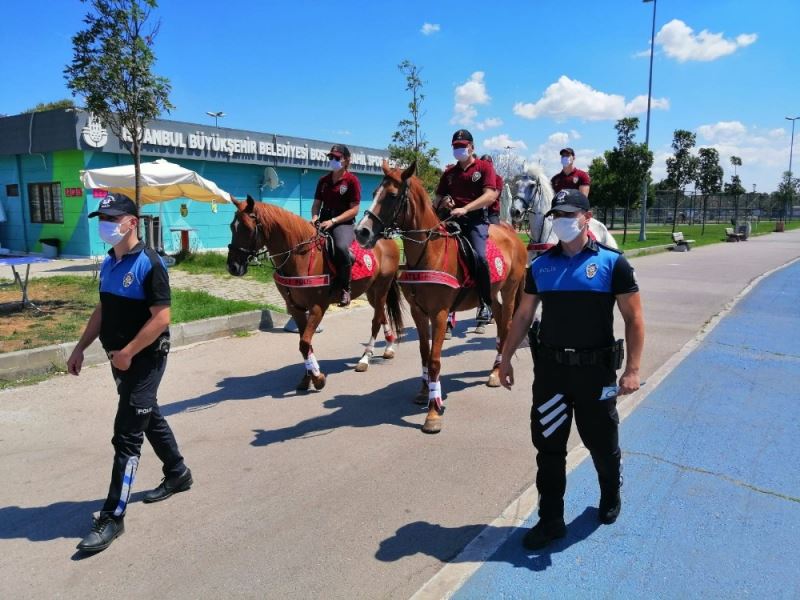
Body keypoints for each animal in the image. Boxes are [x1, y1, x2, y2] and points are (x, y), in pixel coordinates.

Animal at [227, 192, 404, 390]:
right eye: (232, 226)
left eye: (248, 229)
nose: (233, 266)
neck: (300, 256)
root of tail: (387, 239)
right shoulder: (295, 308)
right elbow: (305, 343)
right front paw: (308, 376)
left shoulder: (318, 307)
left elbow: (305, 342)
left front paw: (317, 377)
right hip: (372, 292)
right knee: (382, 316)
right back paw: (388, 348)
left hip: (381, 288)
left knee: (376, 321)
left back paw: (365, 359)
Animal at [354, 164, 528, 434]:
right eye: (374, 192)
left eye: (392, 196)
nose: (361, 231)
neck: (429, 253)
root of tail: (513, 234)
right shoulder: (419, 312)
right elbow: (424, 354)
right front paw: (424, 391)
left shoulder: (439, 314)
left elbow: (435, 360)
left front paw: (433, 412)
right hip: (492, 294)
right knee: (499, 320)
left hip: (509, 291)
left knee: (507, 327)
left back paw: (495, 372)